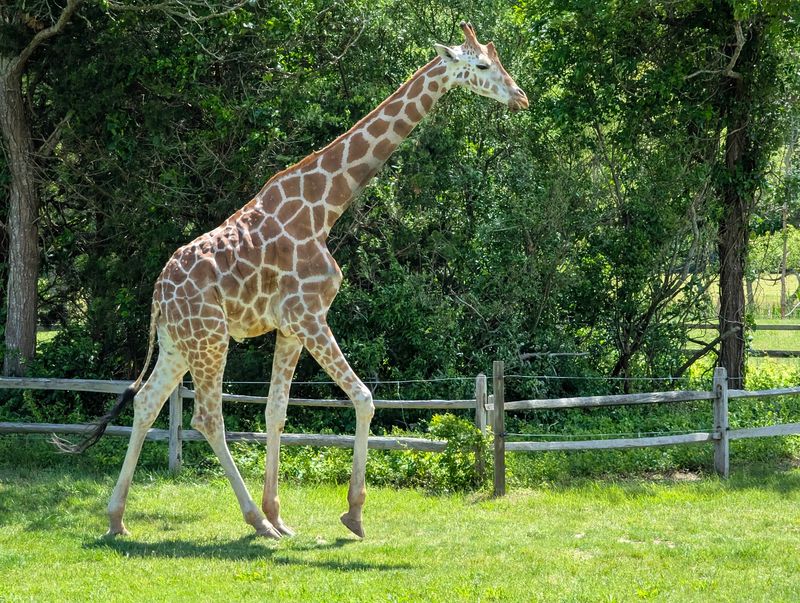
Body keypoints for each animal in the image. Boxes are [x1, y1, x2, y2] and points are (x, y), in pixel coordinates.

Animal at [54, 21, 528, 540]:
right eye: (481, 65)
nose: (521, 97)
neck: (324, 209)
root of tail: (158, 295)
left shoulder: (290, 327)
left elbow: (275, 412)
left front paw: (281, 513)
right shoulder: (310, 315)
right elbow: (364, 399)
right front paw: (352, 514)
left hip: (179, 343)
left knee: (147, 403)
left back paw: (118, 519)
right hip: (210, 338)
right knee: (206, 418)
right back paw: (254, 521)